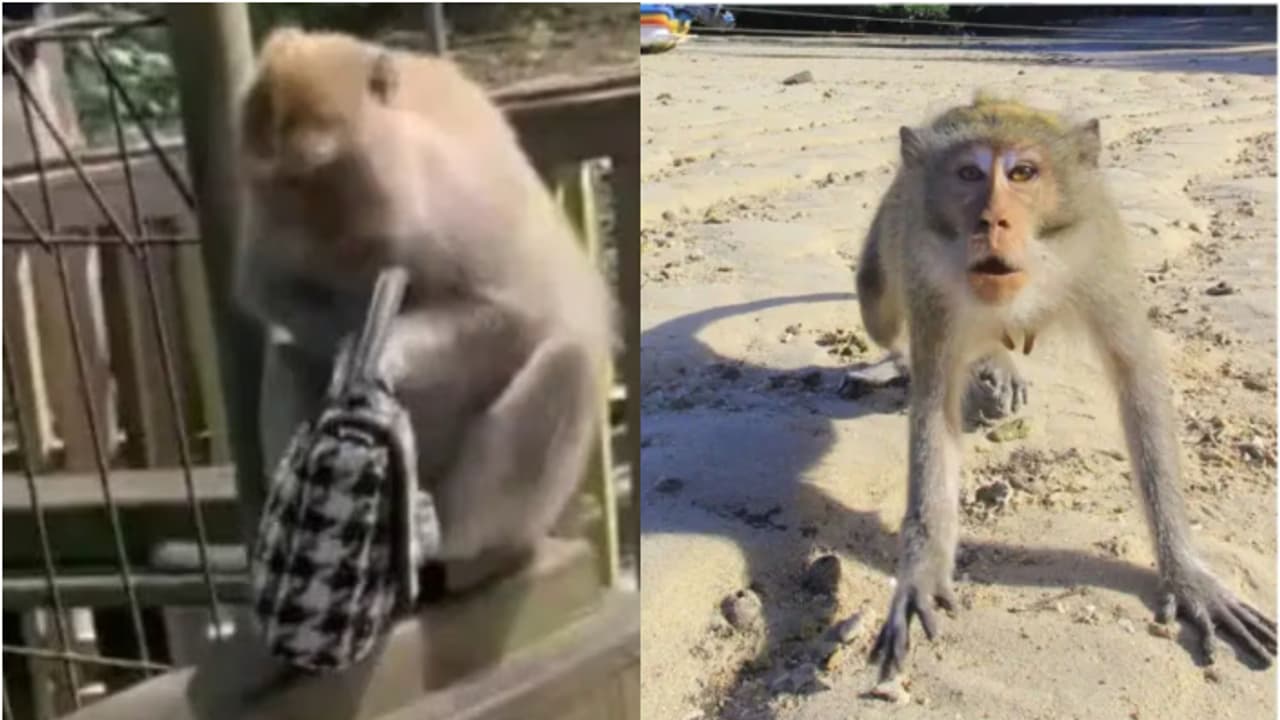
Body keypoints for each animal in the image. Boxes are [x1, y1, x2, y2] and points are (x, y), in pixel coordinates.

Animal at [232, 28, 616, 575]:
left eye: (310, 174)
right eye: (276, 184)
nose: (300, 228)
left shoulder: (453, 202)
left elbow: (516, 314)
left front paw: (380, 350)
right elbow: (270, 289)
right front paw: (352, 341)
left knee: (570, 363)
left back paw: (445, 543)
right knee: (288, 355)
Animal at [851, 92, 1276, 680]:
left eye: (1022, 173)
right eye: (968, 174)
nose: (992, 219)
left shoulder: (1099, 254)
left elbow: (1137, 380)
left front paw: (1187, 573)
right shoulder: (926, 274)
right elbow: (934, 409)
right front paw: (920, 571)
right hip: (894, 228)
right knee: (878, 303)